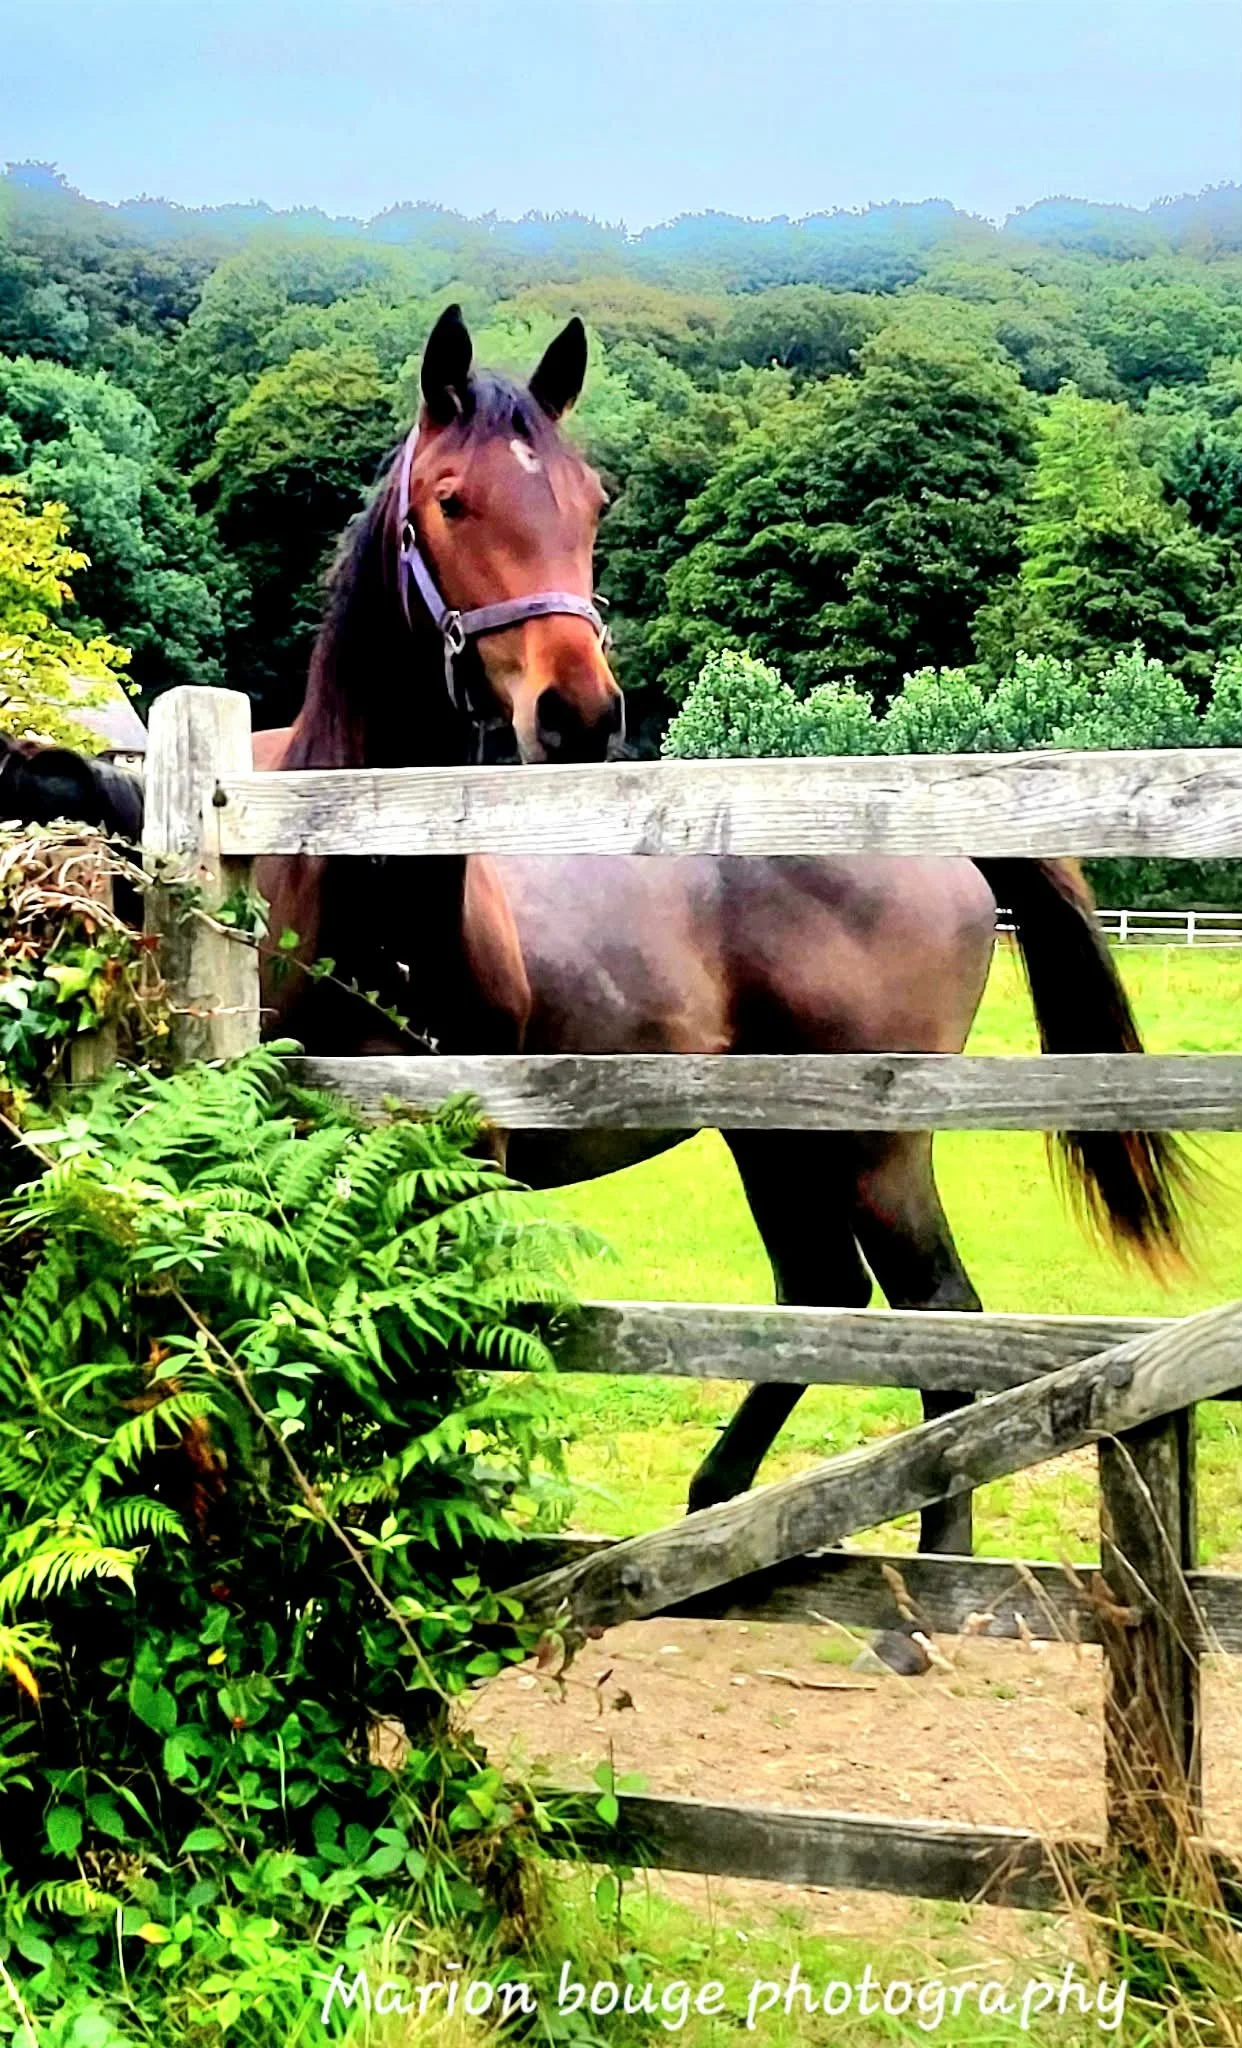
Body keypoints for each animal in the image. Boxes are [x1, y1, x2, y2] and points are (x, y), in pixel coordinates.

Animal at [249, 305, 1190, 1550]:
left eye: (593, 501)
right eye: (452, 499)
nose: (580, 711)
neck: (349, 884)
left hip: (876, 1147)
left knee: (937, 1314)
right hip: (774, 1136)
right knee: (824, 1295)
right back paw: (716, 1508)